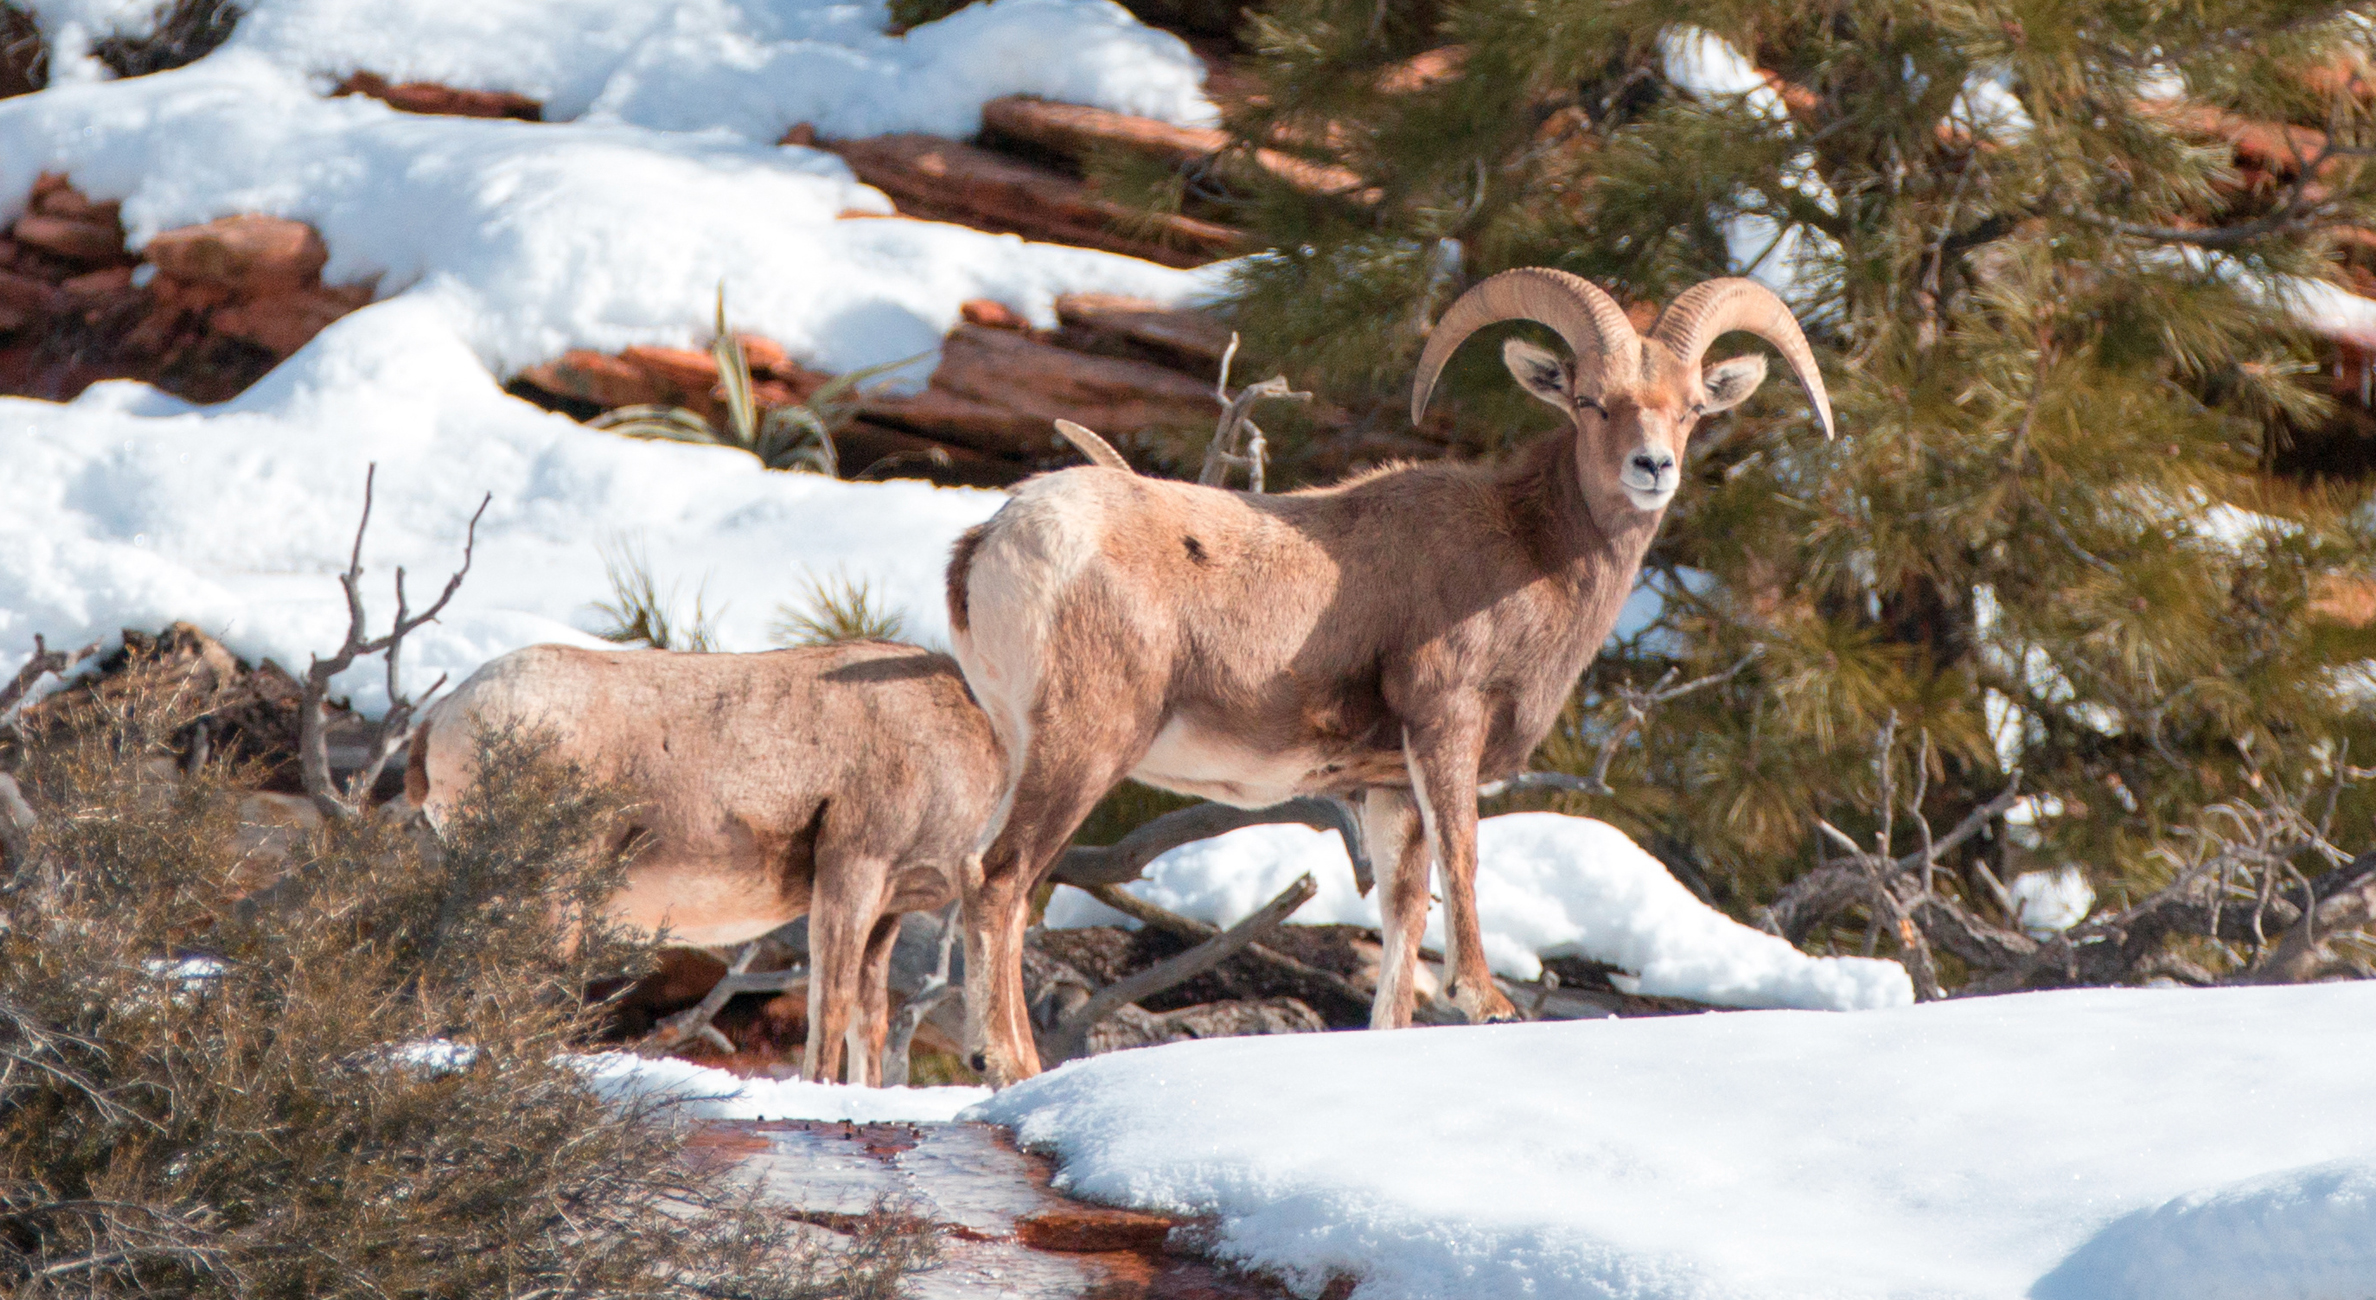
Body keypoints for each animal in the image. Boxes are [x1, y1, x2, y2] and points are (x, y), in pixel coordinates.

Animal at [943, 271, 1833, 1084]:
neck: (1532, 553)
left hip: (1023, 753)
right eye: (1591, 402)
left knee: (978, 873)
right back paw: (1011, 1065)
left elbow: (1405, 913)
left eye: (1690, 408)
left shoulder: (1386, 787)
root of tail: (996, 540)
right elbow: (1463, 858)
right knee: (1003, 880)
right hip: (1085, 750)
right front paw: (1486, 1002)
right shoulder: (1446, 727)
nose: (1653, 468)